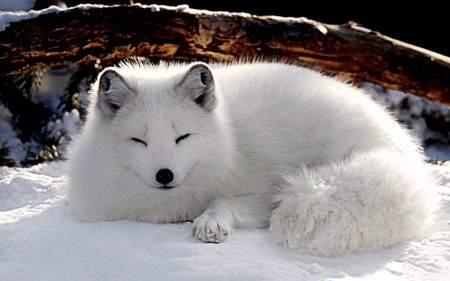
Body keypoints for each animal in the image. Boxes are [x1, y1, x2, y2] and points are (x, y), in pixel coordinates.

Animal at [68, 61, 438, 256]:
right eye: (139, 140)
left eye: (182, 137)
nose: (164, 175)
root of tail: (402, 145)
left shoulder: (266, 192)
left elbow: (223, 201)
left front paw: (210, 222)